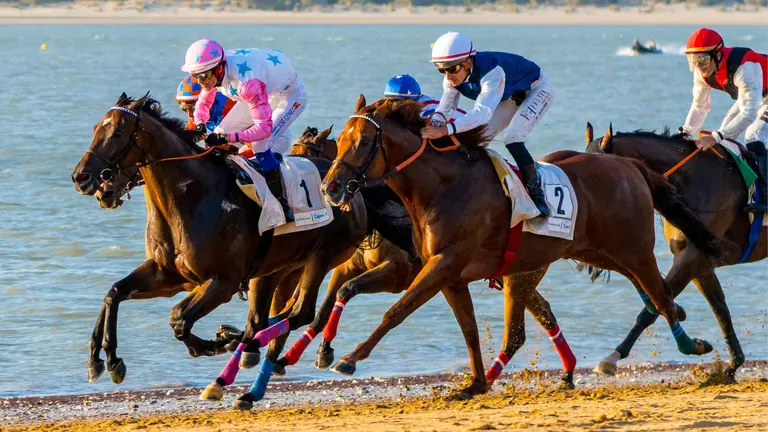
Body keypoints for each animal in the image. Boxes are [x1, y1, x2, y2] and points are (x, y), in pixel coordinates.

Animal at [71, 93, 371, 387]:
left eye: (118, 133)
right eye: (96, 129)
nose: (81, 176)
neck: (193, 197)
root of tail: (352, 194)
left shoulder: (222, 281)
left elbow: (179, 319)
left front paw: (207, 345)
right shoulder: (168, 275)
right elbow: (115, 293)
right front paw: (105, 359)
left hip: (322, 257)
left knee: (301, 313)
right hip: (276, 267)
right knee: (261, 319)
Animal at [321, 95, 726, 399]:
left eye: (362, 142)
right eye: (339, 140)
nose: (330, 187)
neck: (443, 187)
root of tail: (628, 165)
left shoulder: (443, 263)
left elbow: (397, 311)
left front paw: (349, 358)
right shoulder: (450, 275)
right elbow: (468, 330)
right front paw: (476, 383)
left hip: (632, 248)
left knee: (659, 293)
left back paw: (691, 345)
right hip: (596, 251)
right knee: (652, 289)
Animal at [584, 123, 766, 382]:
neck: (693, 181)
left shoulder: (691, 257)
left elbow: (654, 307)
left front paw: (612, 358)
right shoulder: (700, 262)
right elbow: (720, 311)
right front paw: (731, 366)